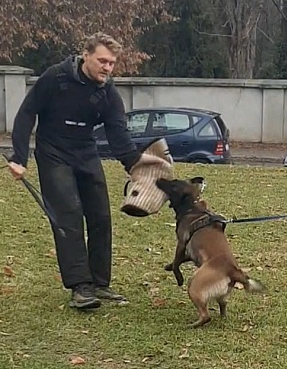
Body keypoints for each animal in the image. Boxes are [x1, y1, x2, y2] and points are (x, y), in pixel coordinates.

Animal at [156, 177, 266, 326]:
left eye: (173, 184)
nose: (158, 179)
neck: (192, 206)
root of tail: (233, 271)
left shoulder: (181, 244)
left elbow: (177, 263)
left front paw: (178, 278)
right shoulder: (190, 252)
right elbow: (177, 261)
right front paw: (168, 266)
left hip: (194, 285)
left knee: (206, 316)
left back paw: (191, 325)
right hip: (222, 294)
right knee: (223, 305)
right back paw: (222, 318)